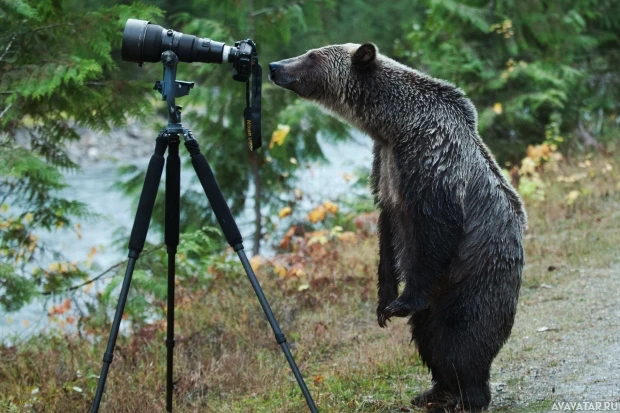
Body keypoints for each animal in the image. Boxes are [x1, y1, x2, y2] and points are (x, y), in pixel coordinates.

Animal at [268, 43, 524, 410]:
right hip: (444, 295)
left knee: (462, 339)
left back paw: (468, 396)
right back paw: (434, 391)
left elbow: (435, 231)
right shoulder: (385, 167)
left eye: (312, 55)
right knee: (428, 336)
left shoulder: (431, 162)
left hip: (475, 278)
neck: (393, 126)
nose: (274, 66)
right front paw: (383, 304)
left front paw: (401, 302)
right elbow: (387, 235)